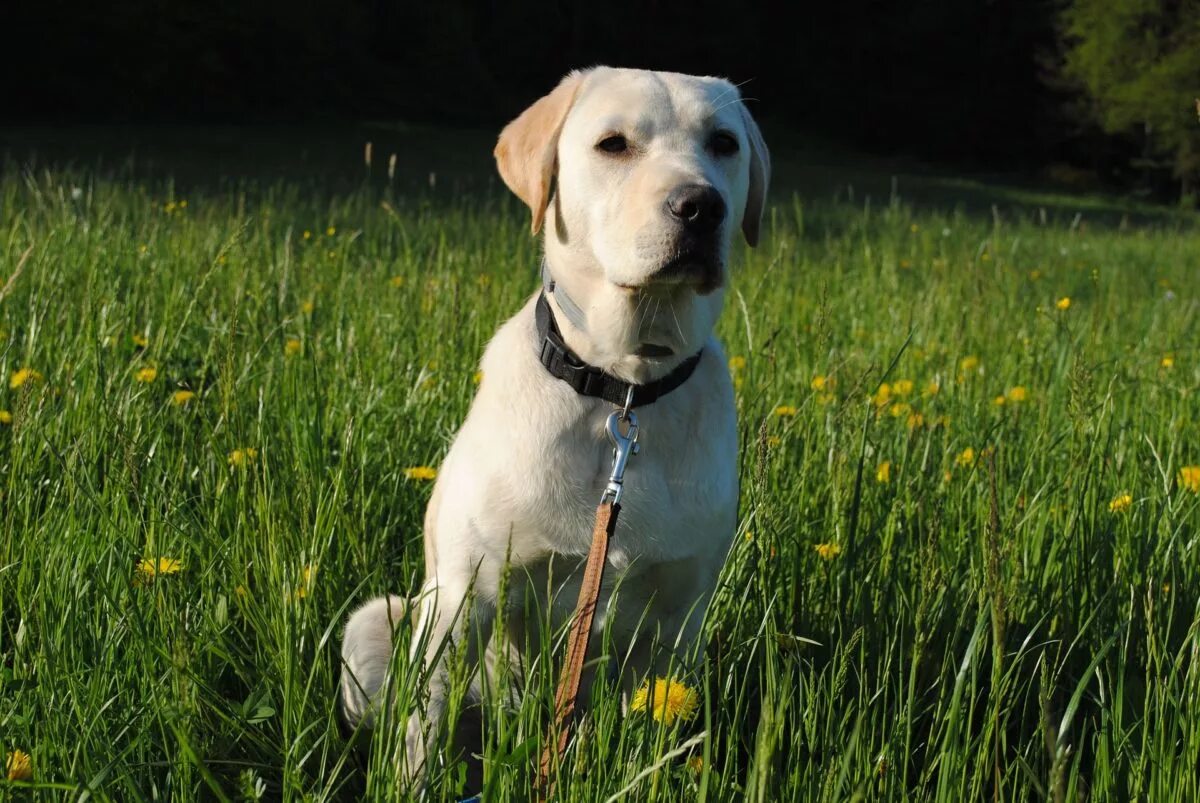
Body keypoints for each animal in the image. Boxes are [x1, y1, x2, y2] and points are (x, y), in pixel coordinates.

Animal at [338, 67, 768, 782]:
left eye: (724, 143)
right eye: (613, 143)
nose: (701, 206)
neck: (623, 391)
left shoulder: (678, 619)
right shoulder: (463, 598)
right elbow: (422, 736)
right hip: (380, 623)